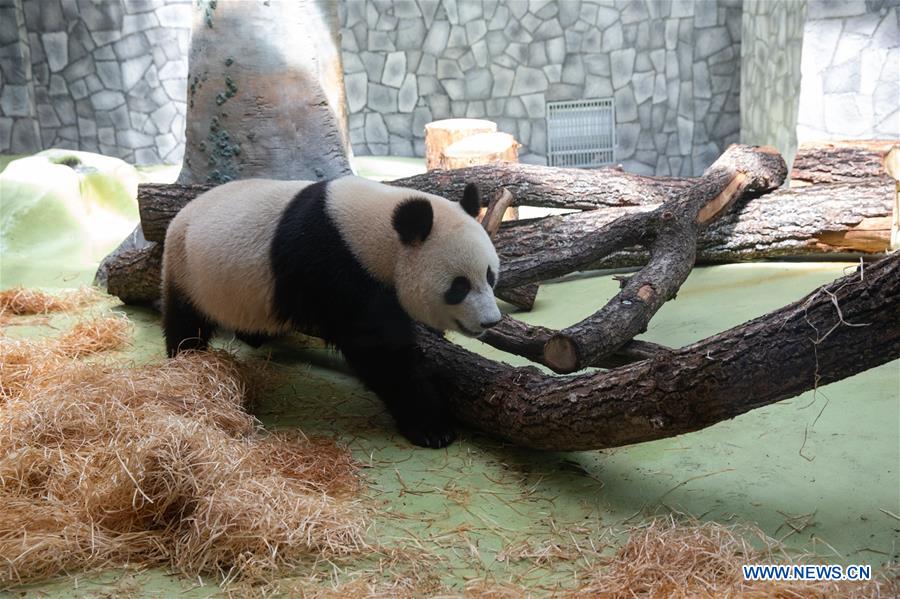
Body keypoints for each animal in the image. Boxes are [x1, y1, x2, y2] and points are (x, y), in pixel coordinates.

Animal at [161, 175, 502, 448]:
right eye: (459, 286)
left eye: (489, 276)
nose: (490, 320)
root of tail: (182, 214)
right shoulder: (333, 267)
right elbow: (379, 350)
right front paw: (431, 426)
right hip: (189, 269)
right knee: (185, 321)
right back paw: (186, 358)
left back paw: (253, 335)